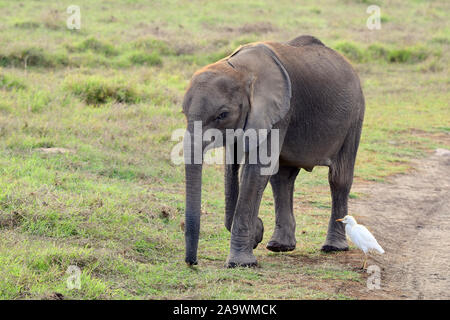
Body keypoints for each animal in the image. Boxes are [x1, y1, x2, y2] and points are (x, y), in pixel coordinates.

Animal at [181, 35, 364, 268]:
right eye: (183, 112)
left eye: (222, 115)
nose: (192, 263)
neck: (240, 69)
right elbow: (234, 166)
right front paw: (256, 234)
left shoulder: (278, 112)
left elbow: (257, 170)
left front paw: (241, 263)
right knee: (282, 178)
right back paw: (279, 246)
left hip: (354, 116)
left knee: (339, 178)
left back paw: (333, 248)